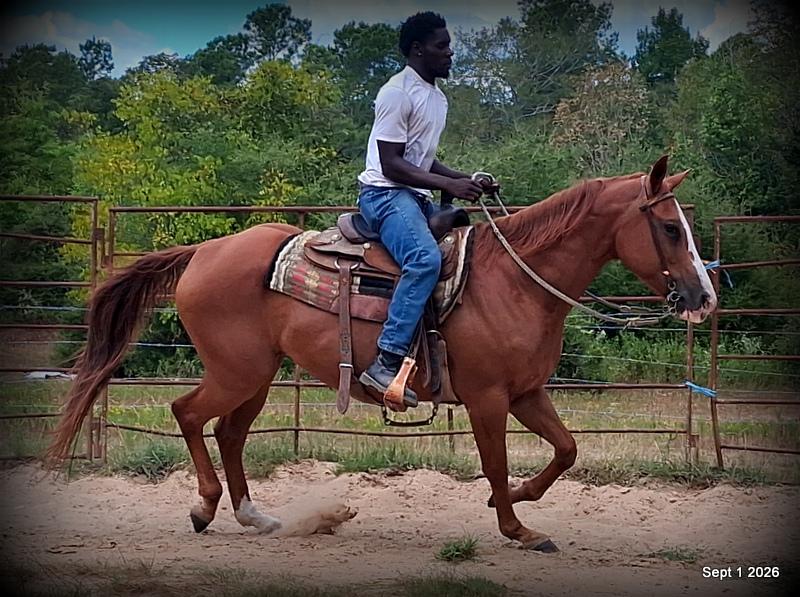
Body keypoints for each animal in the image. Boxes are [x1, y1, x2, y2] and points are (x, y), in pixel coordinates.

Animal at [48, 155, 716, 552]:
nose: (703, 296)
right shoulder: (488, 399)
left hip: (257, 375)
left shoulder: (526, 393)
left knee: (229, 433)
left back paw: (255, 517)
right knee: (188, 414)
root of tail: (204, 251)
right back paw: (206, 508)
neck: (514, 281)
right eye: (669, 228)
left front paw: (520, 502)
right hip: (238, 371)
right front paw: (516, 526)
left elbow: (567, 450)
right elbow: (497, 464)